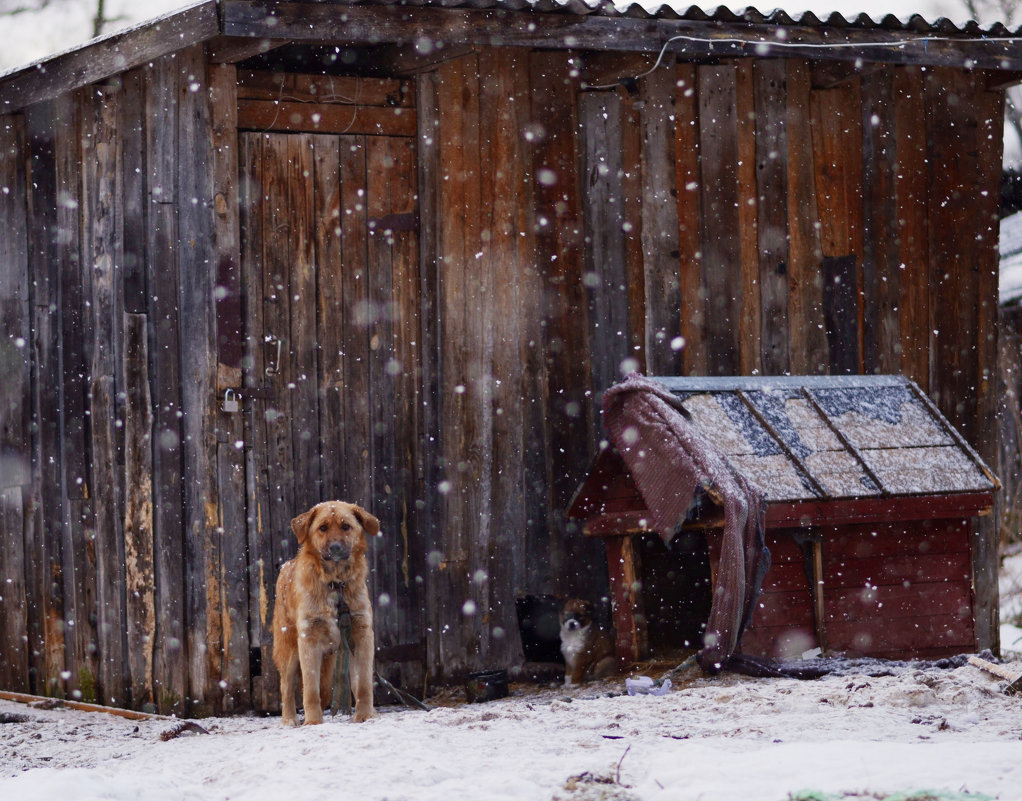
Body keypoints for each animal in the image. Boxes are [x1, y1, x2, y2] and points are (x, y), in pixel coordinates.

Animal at [271, 500, 380, 727]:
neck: (335, 584)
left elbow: (363, 685)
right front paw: (313, 722)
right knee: (287, 687)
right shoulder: (308, 640)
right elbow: (310, 690)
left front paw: (366, 715)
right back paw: (289, 718)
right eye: (323, 528)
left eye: (346, 526)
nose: (335, 548)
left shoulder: (361, 635)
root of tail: (285, 566)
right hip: (289, 650)